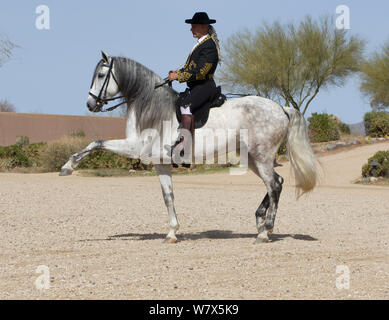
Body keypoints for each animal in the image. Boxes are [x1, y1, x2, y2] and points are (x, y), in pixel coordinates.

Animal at [59, 51, 316, 244]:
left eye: (102, 74)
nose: (90, 104)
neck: (150, 106)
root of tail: (280, 108)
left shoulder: (134, 148)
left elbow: (96, 143)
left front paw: (68, 166)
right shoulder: (160, 164)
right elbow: (168, 196)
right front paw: (172, 232)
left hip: (261, 156)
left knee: (274, 185)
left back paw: (265, 231)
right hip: (252, 158)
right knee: (277, 181)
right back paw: (260, 219)